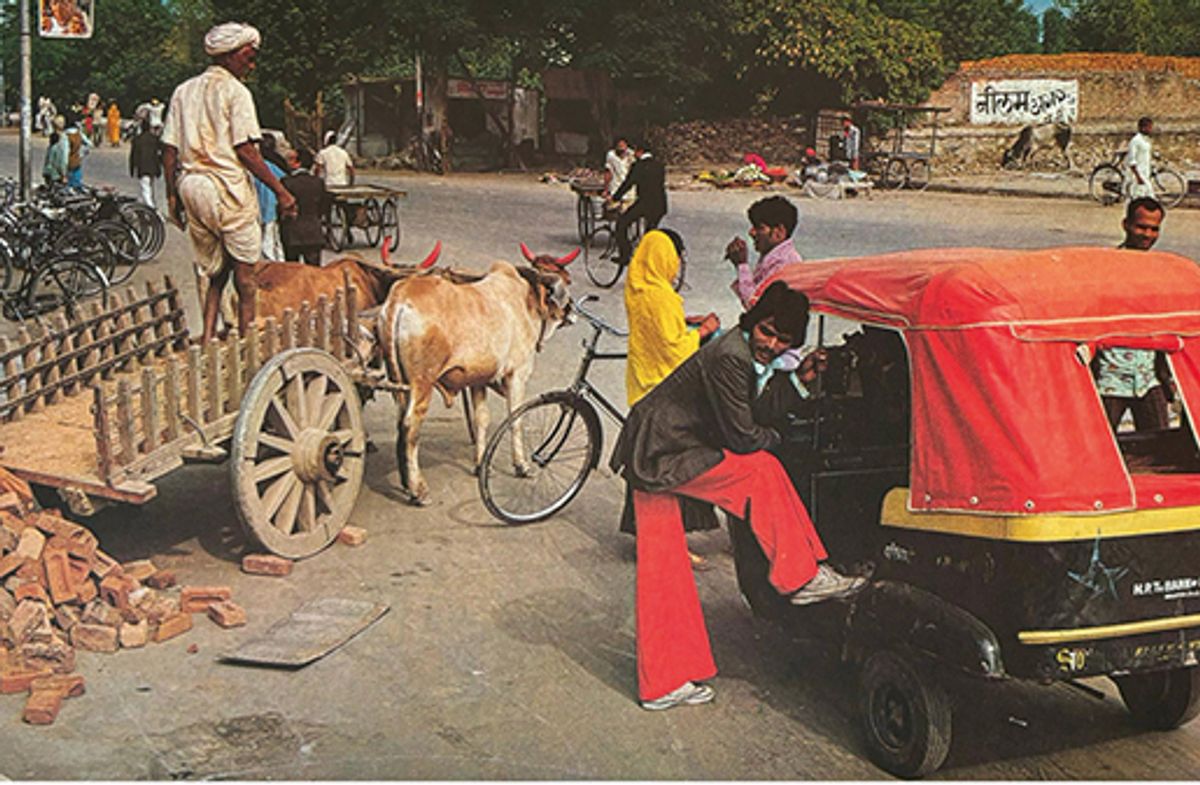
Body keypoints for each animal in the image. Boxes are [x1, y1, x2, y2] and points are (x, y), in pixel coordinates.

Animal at [376, 246, 578, 504]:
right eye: (567, 280)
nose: (573, 310)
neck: (526, 299)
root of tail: (399, 297)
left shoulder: (477, 380)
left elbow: (481, 419)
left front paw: (481, 464)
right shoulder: (517, 374)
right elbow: (516, 418)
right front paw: (521, 465)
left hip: (400, 384)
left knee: (400, 423)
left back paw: (405, 482)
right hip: (422, 384)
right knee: (410, 427)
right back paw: (418, 490)